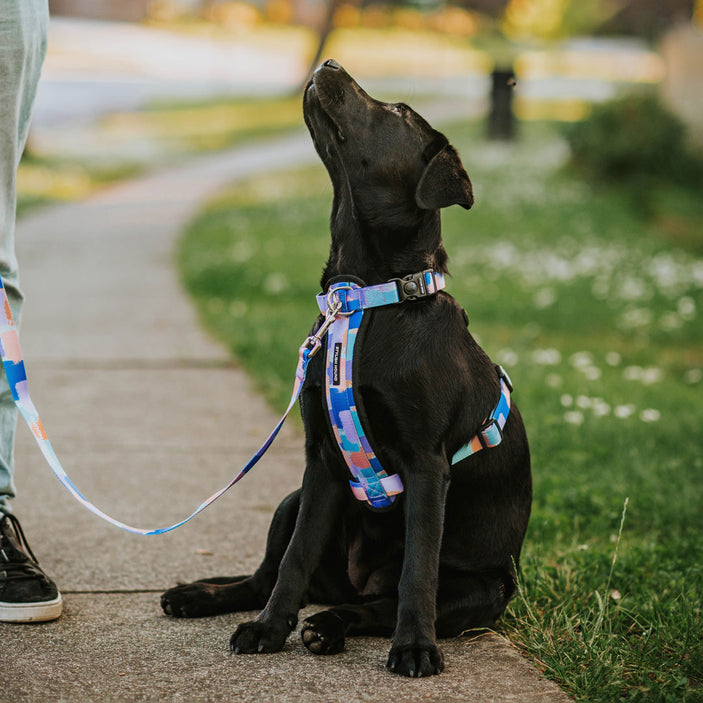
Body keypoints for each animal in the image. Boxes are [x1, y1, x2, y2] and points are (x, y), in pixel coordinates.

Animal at [161, 62, 532, 680]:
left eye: (400, 112)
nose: (331, 65)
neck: (364, 299)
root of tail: (351, 585)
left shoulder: (427, 464)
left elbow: (416, 573)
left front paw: (415, 648)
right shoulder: (320, 465)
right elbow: (293, 561)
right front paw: (267, 630)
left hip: (478, 589)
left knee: (375, 603)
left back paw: (331, 628)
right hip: (289, 501)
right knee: (267, 577)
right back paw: (203, 597)